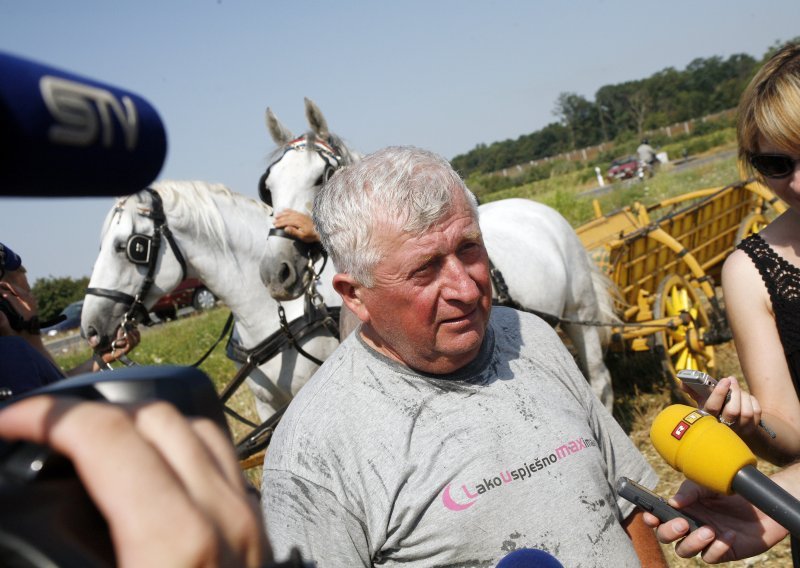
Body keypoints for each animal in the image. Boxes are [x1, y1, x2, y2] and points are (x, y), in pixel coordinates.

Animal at [260, 97, 616, 408]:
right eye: (269, 188)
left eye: (320, 177)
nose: (275, 271)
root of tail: (543, 210)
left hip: (580, 314)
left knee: (600, 381)